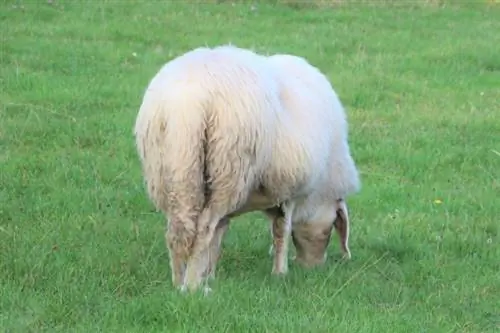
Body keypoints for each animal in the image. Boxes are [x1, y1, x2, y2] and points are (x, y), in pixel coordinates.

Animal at [133, 44, 360, 294]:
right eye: (330, 229)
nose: (313, 268)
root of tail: (190, 105)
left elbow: (220, 236)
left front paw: (209, 274)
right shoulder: (290, 190)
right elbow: (281, 230)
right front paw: (280, 272)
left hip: (175, 168)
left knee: (178, 229)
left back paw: (178, 283)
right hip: (229, 167)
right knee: (203, 229)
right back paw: (193, 287)